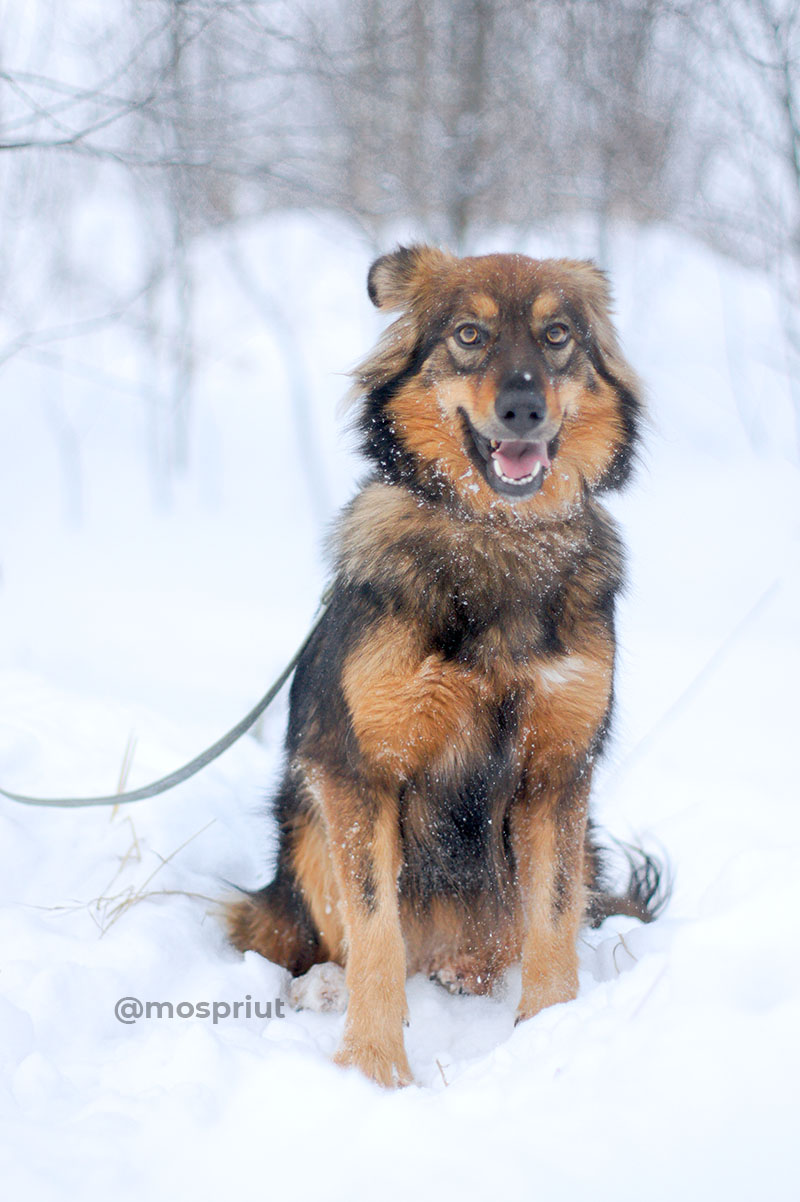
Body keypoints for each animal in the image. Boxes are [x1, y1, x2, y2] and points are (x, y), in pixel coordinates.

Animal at [224, 246, 658, 1091]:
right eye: (469, 335)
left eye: (557, 335)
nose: (522, 411)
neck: (499, 543)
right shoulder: (357, 770)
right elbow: (376, 931)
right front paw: (373, 1068)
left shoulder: (558, 770)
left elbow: (554, 920)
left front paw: (549, 1032)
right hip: (305, 823)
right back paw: (325, 986)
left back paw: (466, 972)